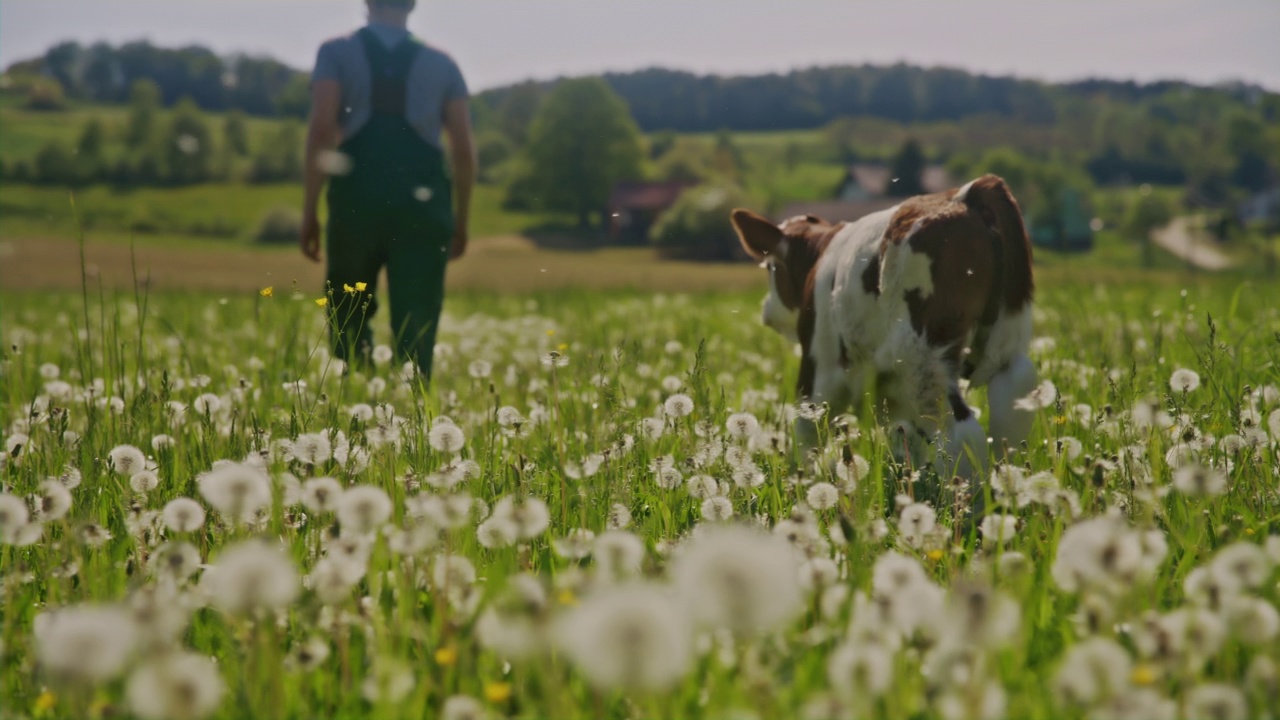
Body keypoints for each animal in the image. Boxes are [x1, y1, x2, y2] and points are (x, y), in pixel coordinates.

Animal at [732, 174, 1039, 476]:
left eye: (770, 267)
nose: (767, 309)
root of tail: (963, 195)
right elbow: (908, 439)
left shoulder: (819, 369)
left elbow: (807, 433)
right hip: (1006, 340)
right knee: (1012, 404)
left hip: (923, 356)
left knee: (962, 431)